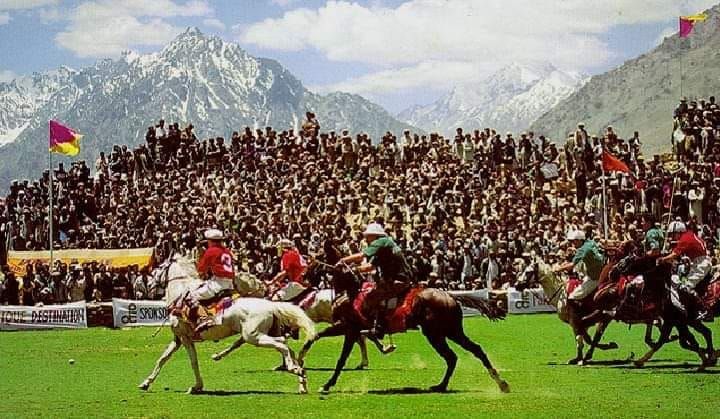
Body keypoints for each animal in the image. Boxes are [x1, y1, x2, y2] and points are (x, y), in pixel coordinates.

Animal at [139, 254, 316, 396]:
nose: (150, 285)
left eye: (158, 268)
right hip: (266, 333)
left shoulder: (185, 338)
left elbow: (193, 362)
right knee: (286, 346)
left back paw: (294, 369)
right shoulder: (178, 339)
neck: (180, 295)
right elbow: (162, 359)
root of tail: (271, 305)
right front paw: (146, 383)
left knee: (281, 344)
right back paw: (301, 380)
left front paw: (197, 386)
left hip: (253, 336)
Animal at [296, 264, 510, 396]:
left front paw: (326, 384)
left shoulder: (350, 328)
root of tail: (450, 296)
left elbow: (340, 358)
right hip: (449, 332)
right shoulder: (349, 328)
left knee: (455, 356)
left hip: (437, 333)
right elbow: (320, 336)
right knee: (467, 353)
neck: (352, 292)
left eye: (313, 264)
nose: (303, 277)